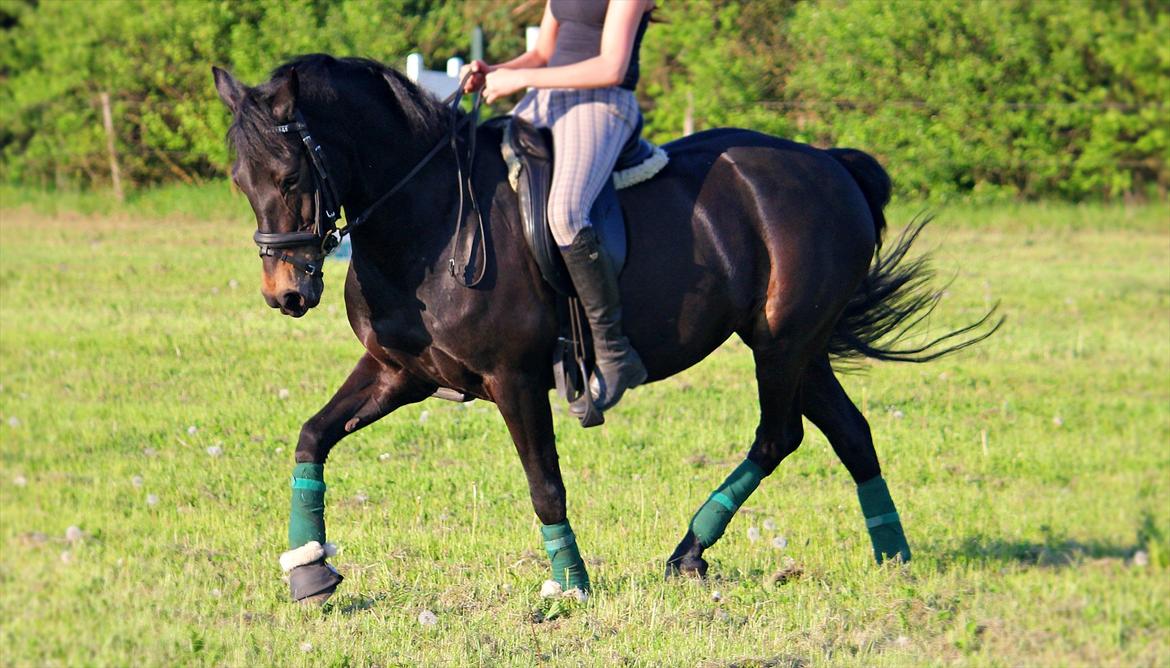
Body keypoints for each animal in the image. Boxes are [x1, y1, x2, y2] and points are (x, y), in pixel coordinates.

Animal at [212, 54, 996, 603]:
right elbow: (312, 436)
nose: (286, 294)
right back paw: (891, 554)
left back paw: (690, 552)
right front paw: (309, 571)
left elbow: (544, 485)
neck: (429, 221)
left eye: (289, 177)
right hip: (795, 345)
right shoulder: (399, 372)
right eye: (239, 181)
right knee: (848, 432)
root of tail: (830, 164)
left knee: (781, 435)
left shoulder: (515, 379)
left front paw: (571, 584)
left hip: (783, 343)